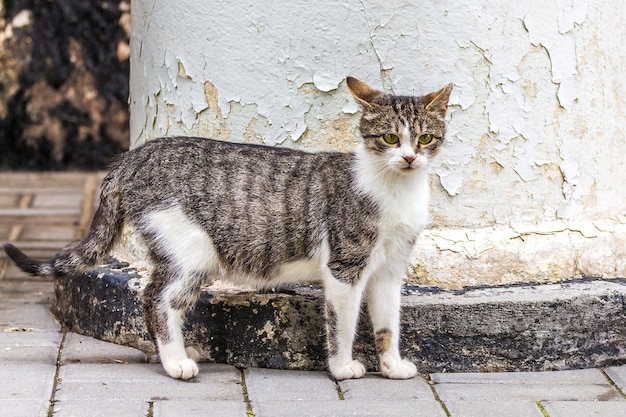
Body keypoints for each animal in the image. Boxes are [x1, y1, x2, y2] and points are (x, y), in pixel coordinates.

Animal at [6, 77, 454, 380]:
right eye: (390, 137)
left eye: (425, 138)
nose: (410, 158)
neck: (396, 190)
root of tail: (134, 156)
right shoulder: (345, 267)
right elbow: (342, 324)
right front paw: (343, 367)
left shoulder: (389, 270)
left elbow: (387, 322)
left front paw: (392, 365)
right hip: (190, 250)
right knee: (155, 299)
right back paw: (176, 362)